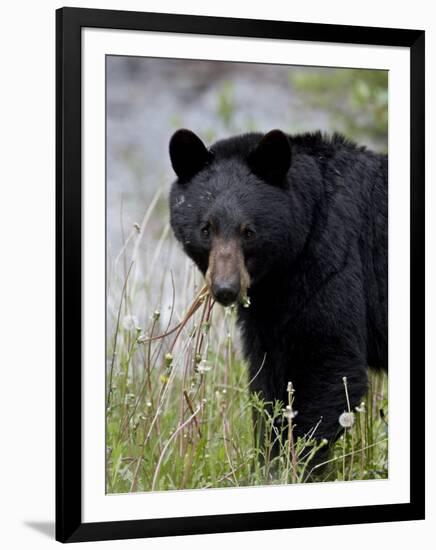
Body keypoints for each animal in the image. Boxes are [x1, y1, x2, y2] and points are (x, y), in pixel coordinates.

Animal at [168, 128, 388, 466]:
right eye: (206, 229)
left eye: (249, 231)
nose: (225, 289)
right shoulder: (270, 303)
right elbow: (269, 376)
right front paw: (268, 458)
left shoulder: (332, 260)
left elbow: (329, 363)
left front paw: (294, 464)